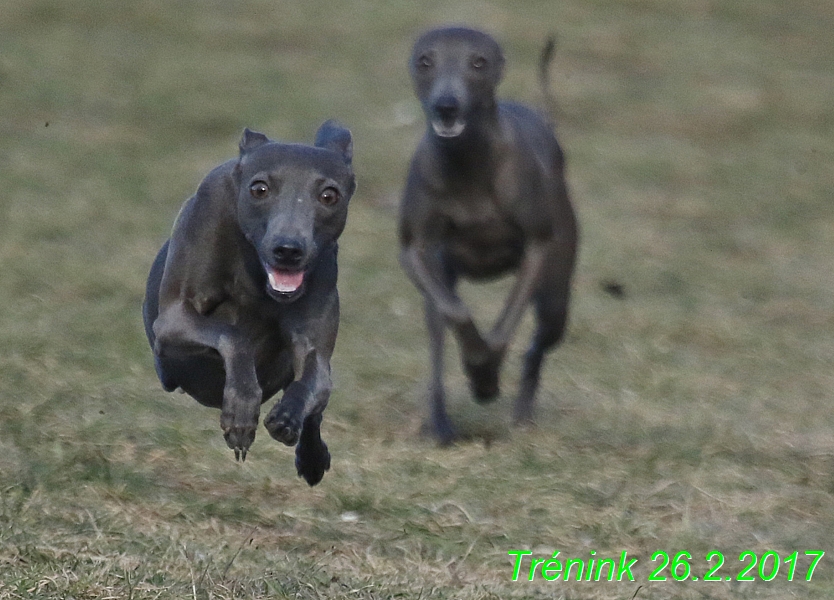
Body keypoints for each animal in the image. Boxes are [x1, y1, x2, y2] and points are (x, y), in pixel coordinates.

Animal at [142, 123, 354, 488]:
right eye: (259, 188)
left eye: (329, 195)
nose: (288, 250)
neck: (258, 280)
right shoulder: (172, 320)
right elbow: (234, 336)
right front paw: (241, 408)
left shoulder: (316, 346)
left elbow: (315, 376)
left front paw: (288, 415)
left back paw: (311, 456)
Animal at [400, 25, 576, 442]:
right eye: (425, 61)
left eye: (478, 62)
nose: (446, 105)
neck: (467, 161)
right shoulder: (416, 251)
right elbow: (455, 310)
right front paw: (479, 371)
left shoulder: (538, 249)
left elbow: (502, 330)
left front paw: (486, 377)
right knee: (438, 332)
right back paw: (440, 425)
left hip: (556, 296)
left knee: (537, 345)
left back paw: (522, 415)